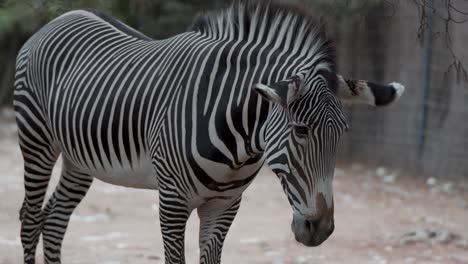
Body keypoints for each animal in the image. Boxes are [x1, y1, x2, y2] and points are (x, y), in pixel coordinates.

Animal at [12, 1, 404, 262]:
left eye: (343, 132)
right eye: (300, 130)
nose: (319, 229)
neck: (240, 145)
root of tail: (61, 17)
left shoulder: (225, 205)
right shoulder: (171, 200)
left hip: (80, 158)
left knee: (55, 218)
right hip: (37, 142)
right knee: (31, 217)